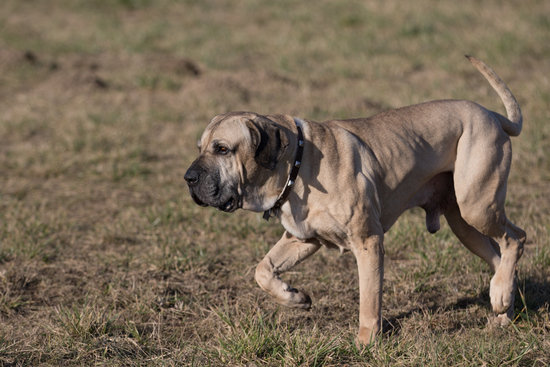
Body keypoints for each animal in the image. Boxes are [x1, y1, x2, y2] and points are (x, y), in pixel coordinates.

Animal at [185, 56, 528, 344]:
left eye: (223, 149)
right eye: (200, 147)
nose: (188, 178)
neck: (298, 163)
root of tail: (492, 115)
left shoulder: (368, 241)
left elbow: (369, 298)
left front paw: (366, 341)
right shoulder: (303, 239)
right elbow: (263, 270)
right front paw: (295, 297)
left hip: (477, 206)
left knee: (516, 238)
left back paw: (501, 295)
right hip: (465, 223)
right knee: (498, 257)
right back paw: (502, 304)